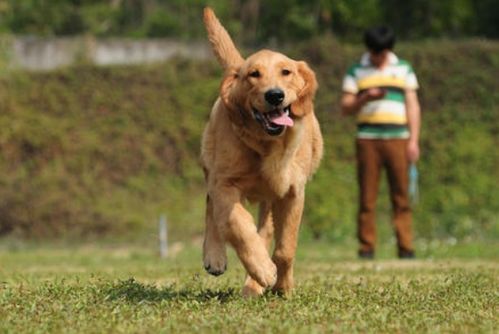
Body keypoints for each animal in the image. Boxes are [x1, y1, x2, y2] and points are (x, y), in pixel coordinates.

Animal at [202, 7, 324, 294]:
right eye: (253, 74)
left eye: (286, 72)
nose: (275, 95)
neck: (267, 146)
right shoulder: (225, 183)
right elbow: (238, 225)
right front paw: (263, 270)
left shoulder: (293, 192)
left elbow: (285, 249)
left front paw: (283, 286)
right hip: (210, 162)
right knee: (211, 207)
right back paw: (216, 256)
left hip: (271, 198)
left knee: (266, 232)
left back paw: (254, 286)